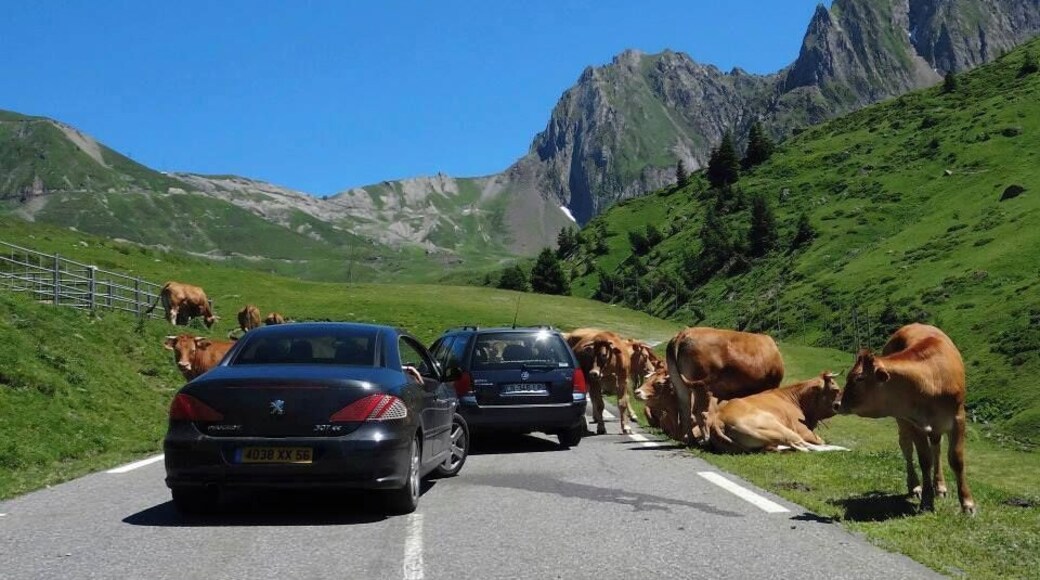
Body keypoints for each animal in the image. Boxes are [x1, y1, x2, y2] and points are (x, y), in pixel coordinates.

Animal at [709, 372, 841, 453]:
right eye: (835, 389)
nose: (839, 406)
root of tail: (719, 419)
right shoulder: (804, 431)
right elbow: (820, 441)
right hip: (779, 428)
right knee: (804, 446)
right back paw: (840, 448)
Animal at [840, 323, 976, 515]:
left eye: (859, 378)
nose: (837, 403)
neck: (931, 380)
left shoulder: (958, 419)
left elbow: (956, 460)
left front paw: (967, 503)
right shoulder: (915, 422)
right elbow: (924, 460)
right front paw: (926, 500)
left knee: (937, 448)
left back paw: (940, 486)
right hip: (902, 420)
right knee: (907, 448)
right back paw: (915, 486)